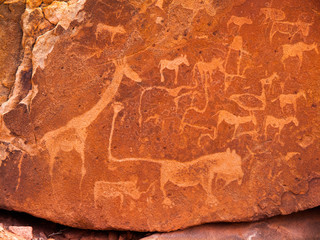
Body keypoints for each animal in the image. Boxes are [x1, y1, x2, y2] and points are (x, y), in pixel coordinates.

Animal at [39, 56, 141, 189]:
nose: (139, 78)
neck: (85, 121)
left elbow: (83, 170)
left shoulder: (81, 146)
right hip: (53, 150)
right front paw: (80, 191)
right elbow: (83, 171)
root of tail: (43, 138)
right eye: (129, 68)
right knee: (50, 171)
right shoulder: (80, 145)